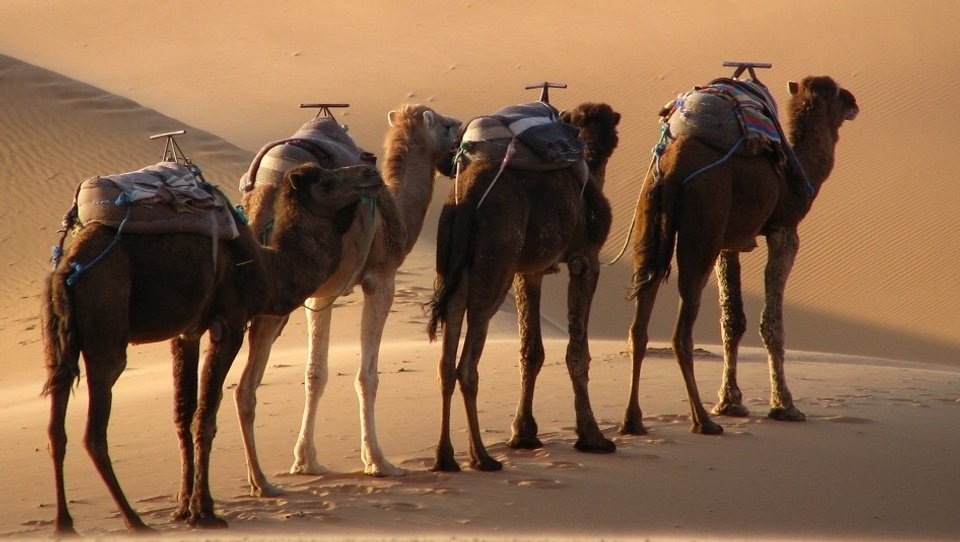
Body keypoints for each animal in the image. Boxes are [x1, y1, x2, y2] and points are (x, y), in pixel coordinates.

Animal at [42, 163, 382, 536]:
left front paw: (183, 508)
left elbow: (184, 414)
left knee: (56, 427)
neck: (266, 269)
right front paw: (204, 511)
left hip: (60, 345)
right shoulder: (228, 325)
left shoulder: (186, 333)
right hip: (106, 334)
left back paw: (64, 523)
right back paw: (134, 520)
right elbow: (206, 417)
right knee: (94, 432)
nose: (369, 167)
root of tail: (68, 269)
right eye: (327, 179)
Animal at [232, 103, 458, 498]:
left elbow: (315, 373)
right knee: (244, 387)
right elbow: (367, 376)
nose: (462, 133)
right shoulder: (381, 279)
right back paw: (259, 483)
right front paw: (379, 463)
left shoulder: (321, 293)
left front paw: (307, 461)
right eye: (447, 126)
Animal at [428, 102, 624, 472]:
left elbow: (531, 350)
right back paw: (482, 457)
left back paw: (446, 457)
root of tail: (466, 199)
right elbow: (577, 352)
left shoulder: (529, 272)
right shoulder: (585, 259)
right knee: (467, 365)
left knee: (446, 362)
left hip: (455, 270)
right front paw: (592, 437)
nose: (595, 152)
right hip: (495, 268)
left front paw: (524, 434)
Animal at [624, 75, 864, 438]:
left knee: (639, 322)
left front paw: (730, 402)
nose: (854, 101)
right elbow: (772, 322)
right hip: (702, 229)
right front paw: (785, 406)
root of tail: (672, 168)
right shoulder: (784, 231)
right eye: (837, 91)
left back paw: (634, 420)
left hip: (648, 220)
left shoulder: (729, 244)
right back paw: (703, 421)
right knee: (681, 330)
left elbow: (732, 319)